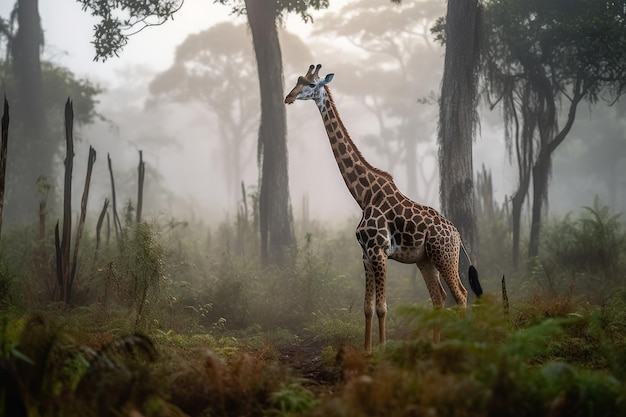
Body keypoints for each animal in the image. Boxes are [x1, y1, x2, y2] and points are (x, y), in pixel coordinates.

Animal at [284, 64, 482, 352]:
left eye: (311, 85)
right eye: (297, 81)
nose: (288, 97)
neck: (364, 195)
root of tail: (458, 235)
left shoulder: (379, 251)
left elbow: (382, 307)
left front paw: (384, 349)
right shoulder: (365, 254)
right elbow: (367, 307)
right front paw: (367, 351)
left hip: (445, 256)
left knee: (462, 294)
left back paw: (463, 346)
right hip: (425, 260)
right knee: (439, 297)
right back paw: (436, 346)